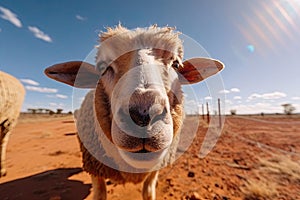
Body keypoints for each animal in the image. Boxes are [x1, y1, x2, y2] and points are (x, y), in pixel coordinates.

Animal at [44, 25, 223, 200]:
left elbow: (148, 193)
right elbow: (100, 194)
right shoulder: (94, 167)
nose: (143, 114)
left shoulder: (155, 168)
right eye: (103, 68)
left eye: (176, 65)